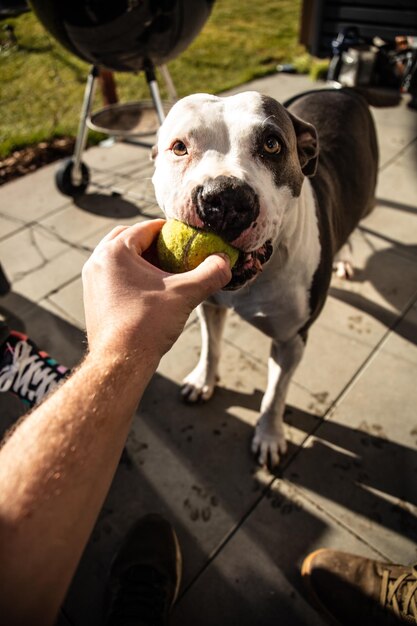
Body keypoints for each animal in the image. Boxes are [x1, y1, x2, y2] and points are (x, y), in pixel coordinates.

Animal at [151, 90, 378, 466]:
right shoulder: (210, 306)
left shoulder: (291, 341)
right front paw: (203, 381)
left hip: (369, 194)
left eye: (272, 145)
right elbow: (211, 347)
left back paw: (345, 257)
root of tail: (339, 89)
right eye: (180, 147)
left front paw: (269, 436)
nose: (224, 198)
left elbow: (275, 394)